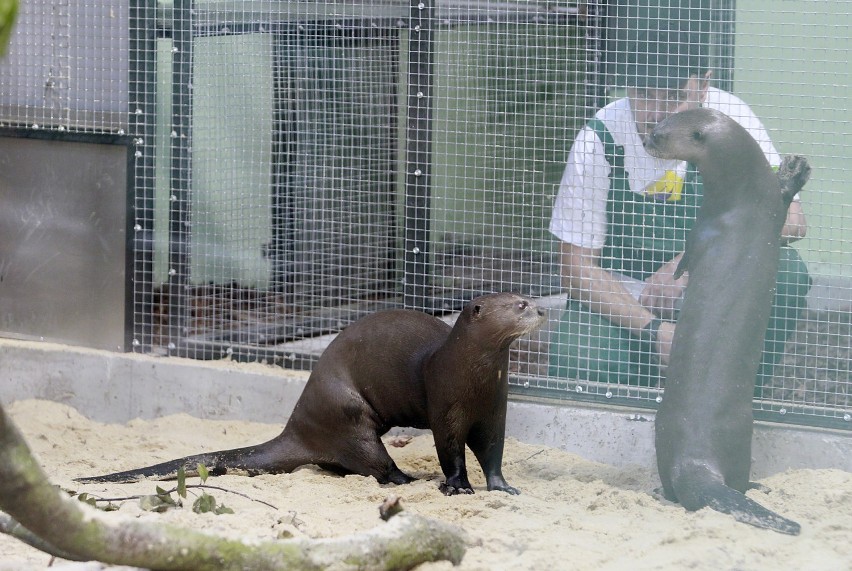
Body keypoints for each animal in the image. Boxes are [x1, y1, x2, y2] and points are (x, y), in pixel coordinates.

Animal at [78, 292, 544, 494]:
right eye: (519, 305)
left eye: (528, 297)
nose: (542, 308)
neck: (472, 377)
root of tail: (298, 424)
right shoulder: (446, 407)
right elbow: (450, 452)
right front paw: (456, 486)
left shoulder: (495, 411)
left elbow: (493, 452)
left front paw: (502, 487)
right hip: (348, 413)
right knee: (374, 463)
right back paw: (408, 478)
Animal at [644, 107, 812, 536]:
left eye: (663, 133)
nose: (647, 138)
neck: (744, 201)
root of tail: (694, 457)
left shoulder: (706, 228)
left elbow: (685, 258)